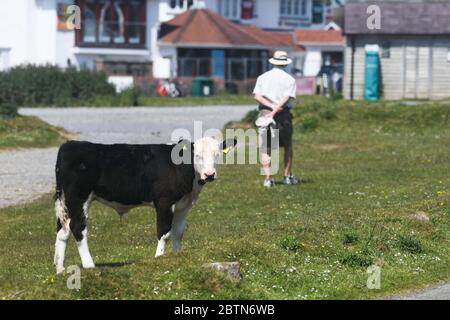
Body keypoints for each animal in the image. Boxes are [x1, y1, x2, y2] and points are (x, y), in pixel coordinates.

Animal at [54, 136, 237, 274]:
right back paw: (89, 266)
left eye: (217, 155)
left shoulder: (183, 205)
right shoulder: (164, 201)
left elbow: (178, 233)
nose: (209, 174)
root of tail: (69, 145)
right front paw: (159, 258)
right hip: (79, 198)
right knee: (78, 228)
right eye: (197, 155)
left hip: (65, 201)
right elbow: (164, 233)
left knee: (63, 230)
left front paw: (176, 257)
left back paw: (60, 269)